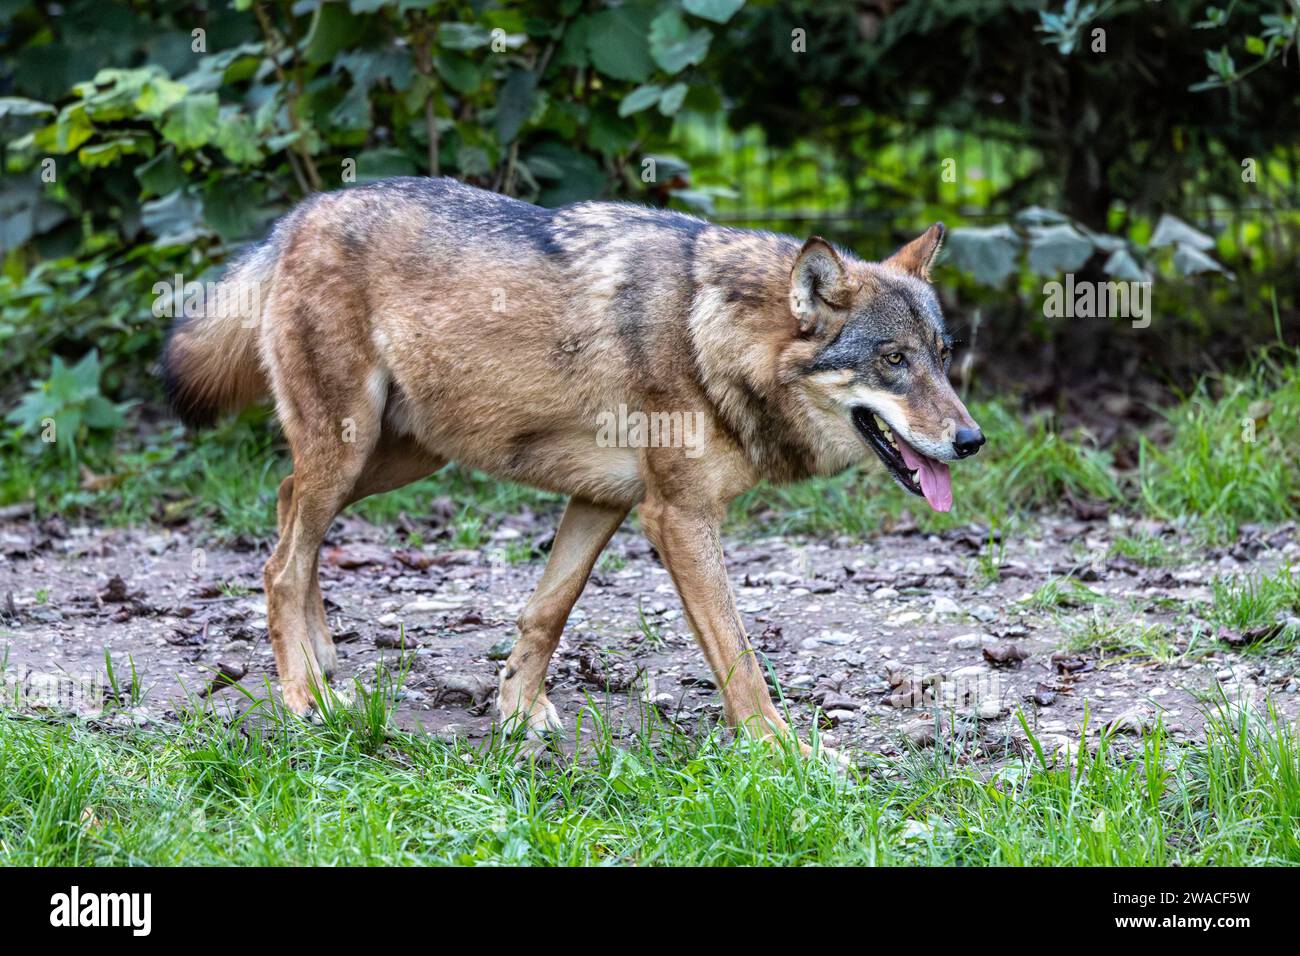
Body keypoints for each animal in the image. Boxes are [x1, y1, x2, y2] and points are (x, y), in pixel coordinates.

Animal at [163, 176, 984, 756]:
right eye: (894, 360)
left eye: (943, 357)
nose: (972, 440)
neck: (710, 336)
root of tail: (300, 215)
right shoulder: (678, 517)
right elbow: (740, 656)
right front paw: (786, 753)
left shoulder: (606, 500)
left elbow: (547, 611)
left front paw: (519, 713)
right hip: (353, 446)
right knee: (279, 561)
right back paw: (304, 696)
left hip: (398, 456)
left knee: (284, 505)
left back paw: (324, 654)